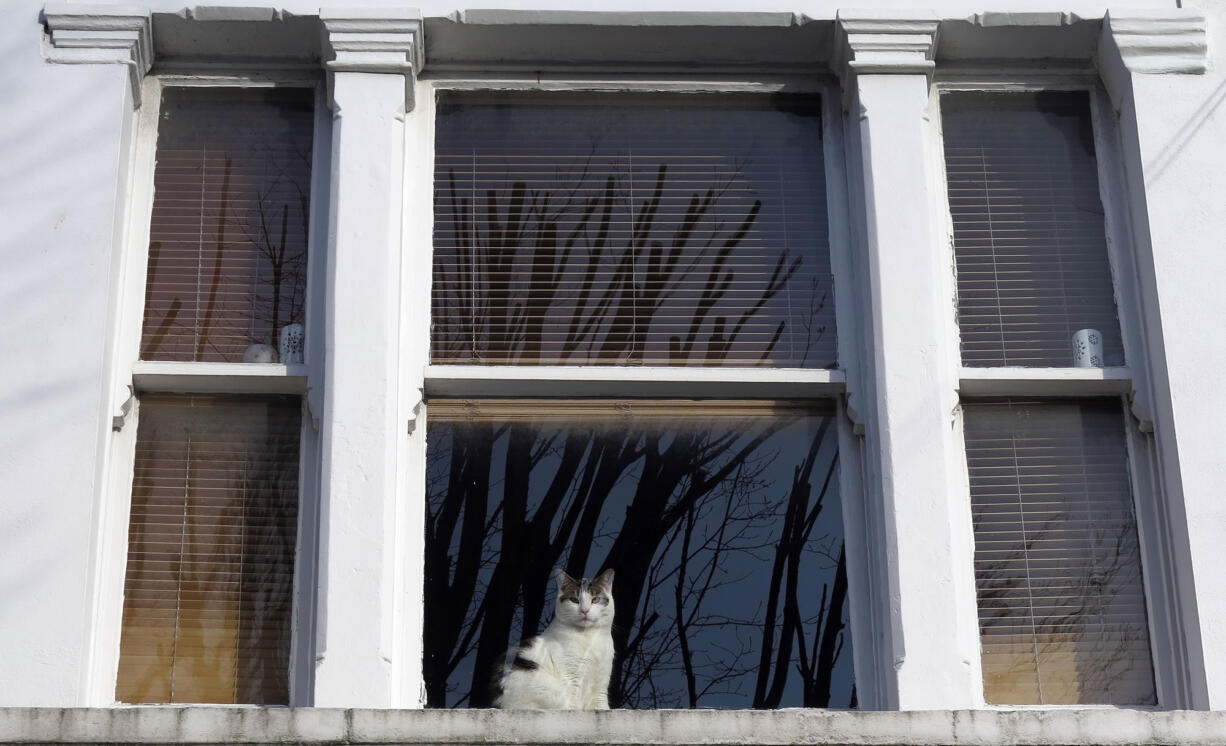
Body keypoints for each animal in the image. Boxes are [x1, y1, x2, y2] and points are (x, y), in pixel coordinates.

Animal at [492, 569, 617, 706]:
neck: (590, 637)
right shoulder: (572, 678)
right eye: (574, 600)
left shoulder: (601, 684)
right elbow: (574, 703)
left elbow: (601, 704)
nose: (585, 610)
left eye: (595, 600)